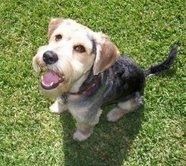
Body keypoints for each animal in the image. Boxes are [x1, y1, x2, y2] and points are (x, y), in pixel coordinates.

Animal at [32, 18, 178, 142]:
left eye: (80, 48)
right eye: (58, 36)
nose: (48, 56)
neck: (78, 88)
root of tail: (143, 73)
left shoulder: (88, 116)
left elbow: (84, 127)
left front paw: (81, 136)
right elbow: (60, 102)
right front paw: (57, 107)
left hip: (131, 100)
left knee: (129, 107)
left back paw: (114, 114)